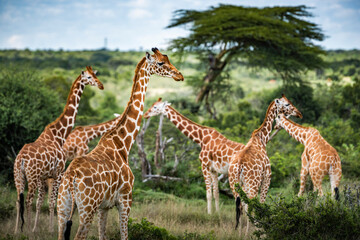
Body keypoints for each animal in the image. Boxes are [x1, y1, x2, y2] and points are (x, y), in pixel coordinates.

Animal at [12, 66, 102, 233]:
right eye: (88, 77)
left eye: (95, 74)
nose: (101, 85)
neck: (59, 134)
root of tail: (21, 159)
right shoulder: (57, 173)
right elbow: (53, 202)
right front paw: (50, 229)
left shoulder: (46, 176)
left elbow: (44, 201)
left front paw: (40, 228)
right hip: (32, 177)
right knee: (27, 200)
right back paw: (26, 230)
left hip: (18, 176)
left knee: (18, 200)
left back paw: (16, 231)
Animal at [57, 47, 184, 240]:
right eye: (161, 62)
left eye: (167, 58)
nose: (180, 75)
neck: (122, 143)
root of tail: (70, 178)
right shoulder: (125, 199)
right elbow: (124, 235)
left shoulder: (104, 206)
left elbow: (102, 235)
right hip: (87, 208)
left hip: (62, 208)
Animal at [229, 94, 302, 235]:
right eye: (287, 104)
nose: (299, 113)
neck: (262, 139)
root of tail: (239, 165)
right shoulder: (267, 178)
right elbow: (261, 205)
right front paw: (261, 231)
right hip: (252, 184)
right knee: (249, 206)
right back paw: (248, 234)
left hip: (235, 186)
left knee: (240, 207)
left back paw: (239, 234)